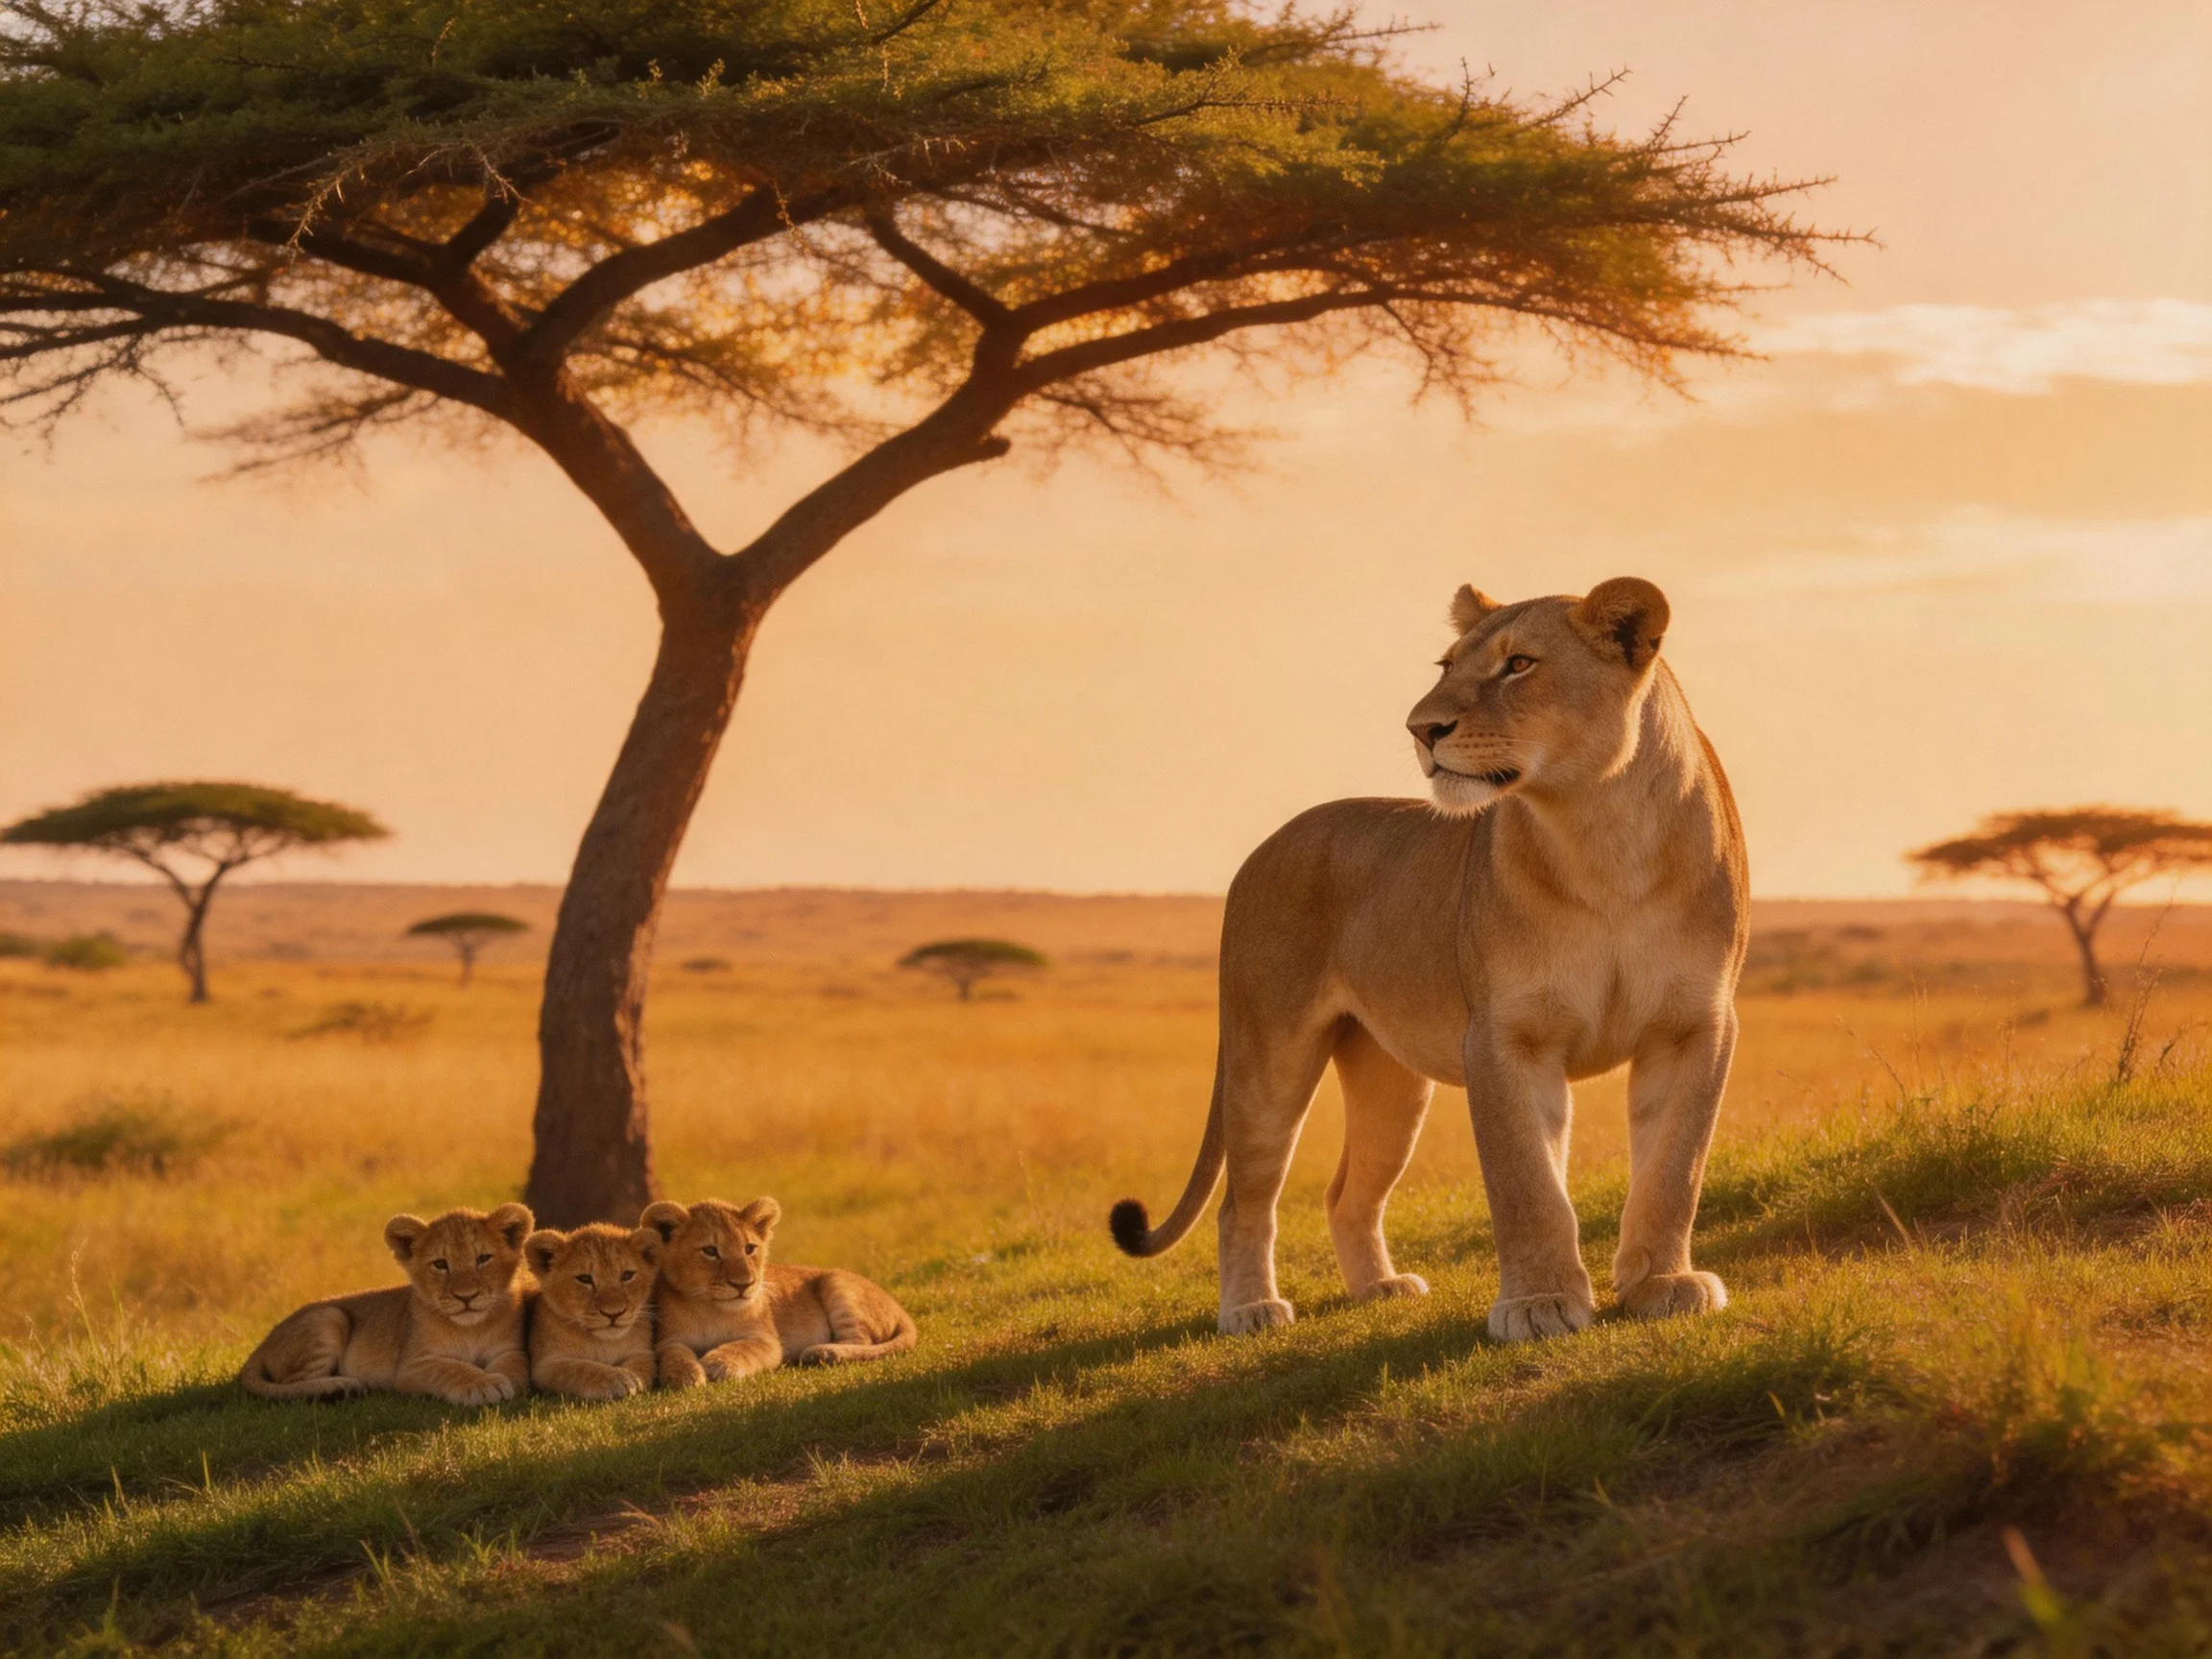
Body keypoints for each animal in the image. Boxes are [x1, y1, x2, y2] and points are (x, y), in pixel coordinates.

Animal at [239, 1203, 534, 1403]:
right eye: (440, 1264)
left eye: (483, 1258)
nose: (466, 1296)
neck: (471, 1328)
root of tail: (263, 1344)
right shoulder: (412, 1367)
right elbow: (451, 1368)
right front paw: (483, 1384)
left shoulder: (510, 1350)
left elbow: (514, 1369)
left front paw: (501, 1380)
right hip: (329, 1317)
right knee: (292, 1384)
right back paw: (341, 1386)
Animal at [523, 1223, 662, 1400]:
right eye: (584, 1279)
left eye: (627, 1275)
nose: (614, 1314)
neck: (603, 1342)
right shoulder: (545, 1366)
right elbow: (579, 1368)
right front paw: (617, 1379)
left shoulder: (642, 1353)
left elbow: (641, 1368)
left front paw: (634, 1378)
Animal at [642, 1197, 917, 1386]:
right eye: (710, 1251)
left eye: (749, 1248)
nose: (744, 1284)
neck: (711, 1307)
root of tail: (899, 1308)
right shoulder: (670, 1340)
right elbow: (674, 1355)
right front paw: (685, 1376)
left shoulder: (767, 1340)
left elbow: (742, 1348)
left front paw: (717, 1364)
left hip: (836, 1282)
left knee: (861, 1342)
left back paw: (823, 1353)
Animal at [1110, 578, 1747, 1343]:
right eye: (1447, 666)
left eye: (1518, 665)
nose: (1421, 729)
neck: (1603, 832)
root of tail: (1263, 848)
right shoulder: (1503, 1036)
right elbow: (1527, 1183)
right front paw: (1538, 1303)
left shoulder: (1694, 1026)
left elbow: (1673, 1168)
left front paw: (1663, 1284)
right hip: (1269, 1050)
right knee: (1246, 1199)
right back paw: (1250, 1310)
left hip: (1390, 1079)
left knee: (1346, 1192)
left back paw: (1378, 1288)